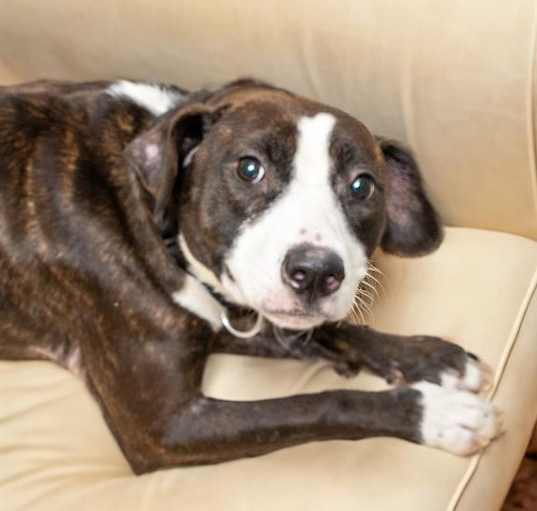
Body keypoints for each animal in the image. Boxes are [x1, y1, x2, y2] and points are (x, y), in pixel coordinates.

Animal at [0, 78, 498, 474]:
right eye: (249, 168)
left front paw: (430, 358)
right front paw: (437, 414)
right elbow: (317, 404)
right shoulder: (165, 427)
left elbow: (331, 329)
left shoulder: (232, 314)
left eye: (362, 185)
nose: (315, 273)